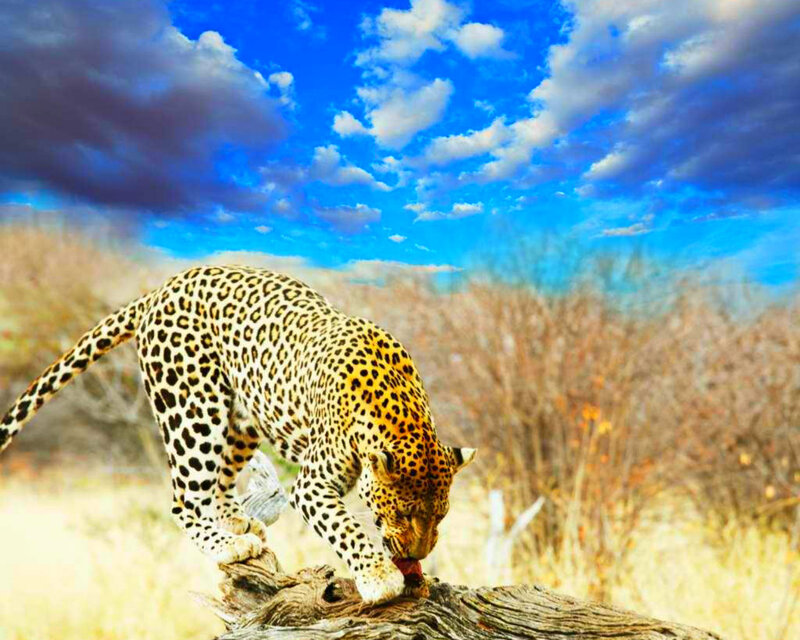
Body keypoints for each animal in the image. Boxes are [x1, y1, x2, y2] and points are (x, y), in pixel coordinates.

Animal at [0, 265, 475, 603]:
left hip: (242, 419)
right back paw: (226, 546)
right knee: (183, 498)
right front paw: (378, 576)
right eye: (402, 514)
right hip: (191, 410)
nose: (417, 555)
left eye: (441, 517)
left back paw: (234, 518)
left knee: (218, 480)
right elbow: (345, 527)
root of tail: (161, 289)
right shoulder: (311, 484)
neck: (399, 408)